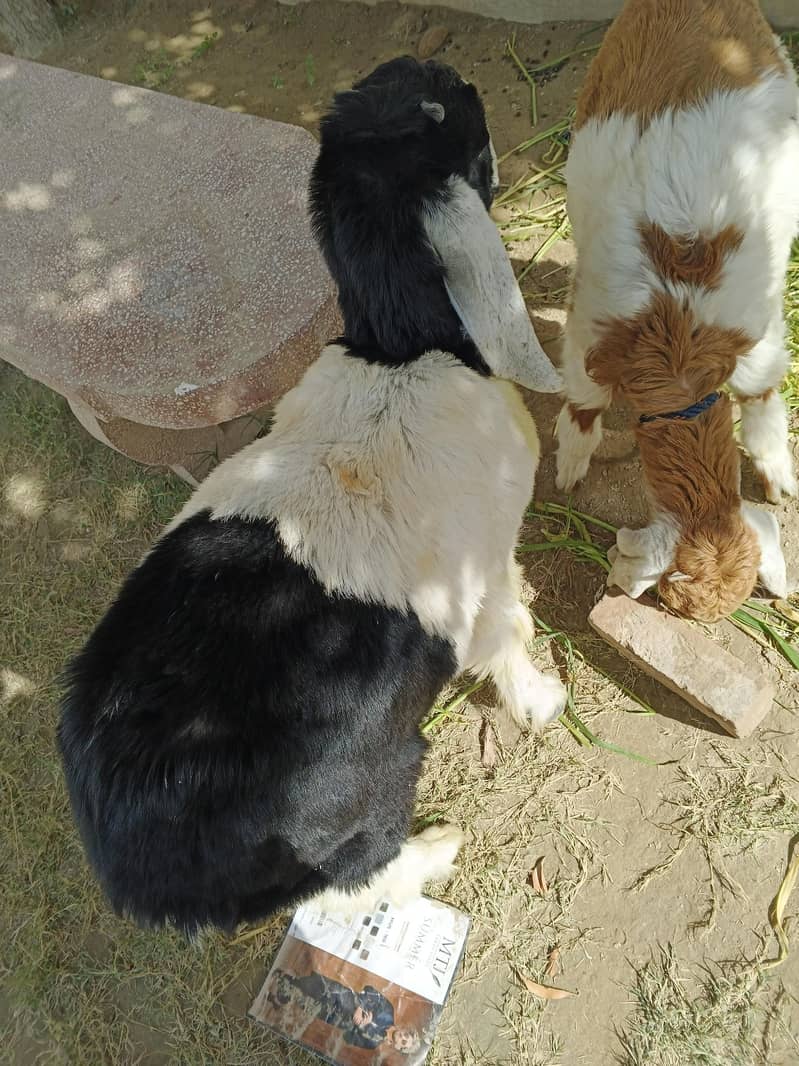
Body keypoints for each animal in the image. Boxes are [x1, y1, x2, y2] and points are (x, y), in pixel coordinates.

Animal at [57, 57, 565, 936]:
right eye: (458, 124)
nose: (452, 77)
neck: (398, 351)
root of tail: (144, 878)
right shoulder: (488, 566)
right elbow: (508, 637)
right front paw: (543, 702)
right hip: (365, 801)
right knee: (355, 881)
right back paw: (439, 847)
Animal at [554, 0, 797, 622]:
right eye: (674, 601)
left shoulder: (759, 331)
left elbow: (759, 390)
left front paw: (777, 473)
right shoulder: (587, 324)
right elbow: (585, 400)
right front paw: (570, 464)